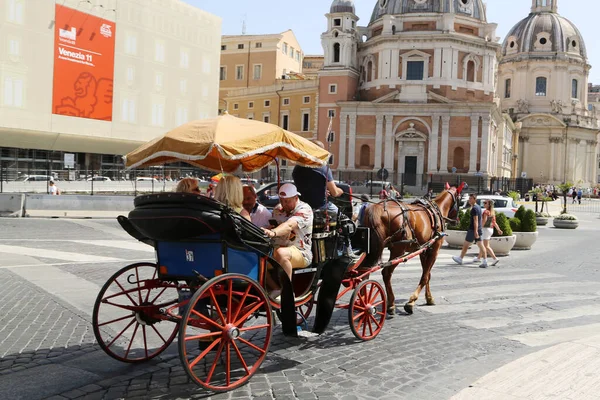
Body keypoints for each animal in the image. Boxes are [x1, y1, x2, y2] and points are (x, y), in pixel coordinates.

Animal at [360, 183, 464, 318]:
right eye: (460, 201)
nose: (457, 220)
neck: (437, 209)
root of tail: (378, 208)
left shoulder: (424, 250)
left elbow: (427, 274)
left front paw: (429, 298)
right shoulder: (434, 250)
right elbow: (425, 276)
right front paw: (411, 302)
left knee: (364, 272)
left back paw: (363, 300)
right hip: (398, 250)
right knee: (386, 273)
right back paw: (389, 304)